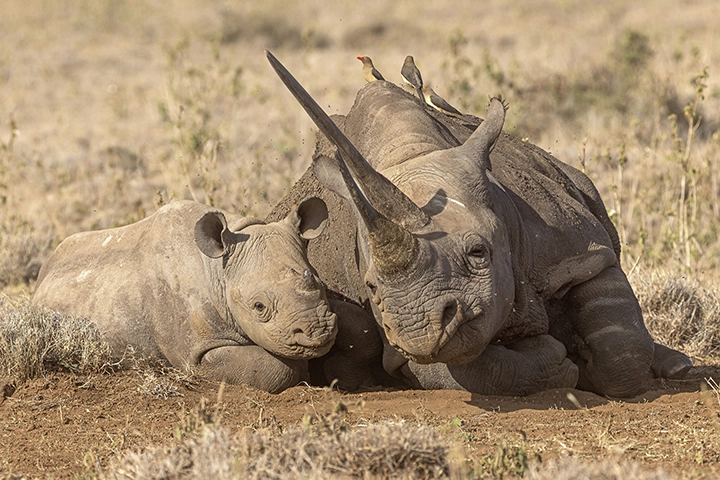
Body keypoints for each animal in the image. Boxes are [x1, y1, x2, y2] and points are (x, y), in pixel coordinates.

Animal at [32, 198, 349, 393]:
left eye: (320, 282)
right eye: (259, 307)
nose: (318, 330)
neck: (218, 270)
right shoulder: (195, 352)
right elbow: (276, 367)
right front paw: (302, 370)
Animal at [265, 52, 692, 397]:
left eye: (478, 252)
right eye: (370, 286)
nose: (419, 330)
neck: (413, 152)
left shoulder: (582, 253)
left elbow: (619, 350)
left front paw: (589, 362)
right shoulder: (399, 340)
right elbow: (476, 373)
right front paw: (557, 361)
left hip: (565, 175)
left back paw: (678, 366)